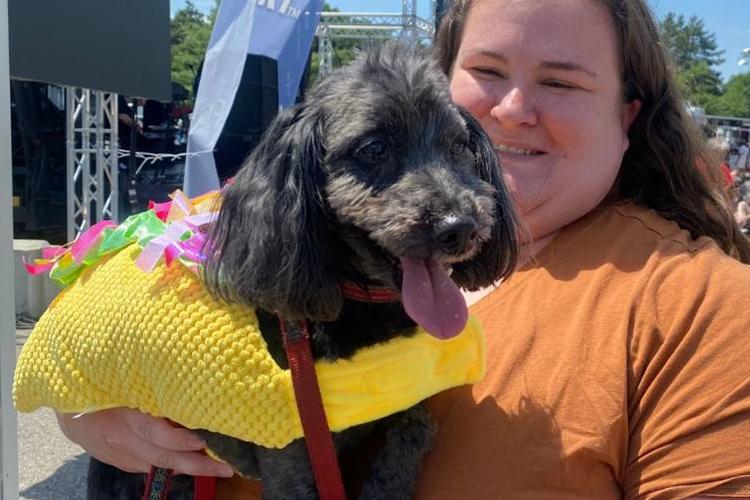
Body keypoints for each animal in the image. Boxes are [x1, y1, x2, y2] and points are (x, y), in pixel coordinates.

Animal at [86, 42, 516, 500]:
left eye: (459, 146)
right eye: (374, 148)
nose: (460, 227)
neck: (359, 303)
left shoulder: (407, 390)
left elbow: (415, 431)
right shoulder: (292, 457)